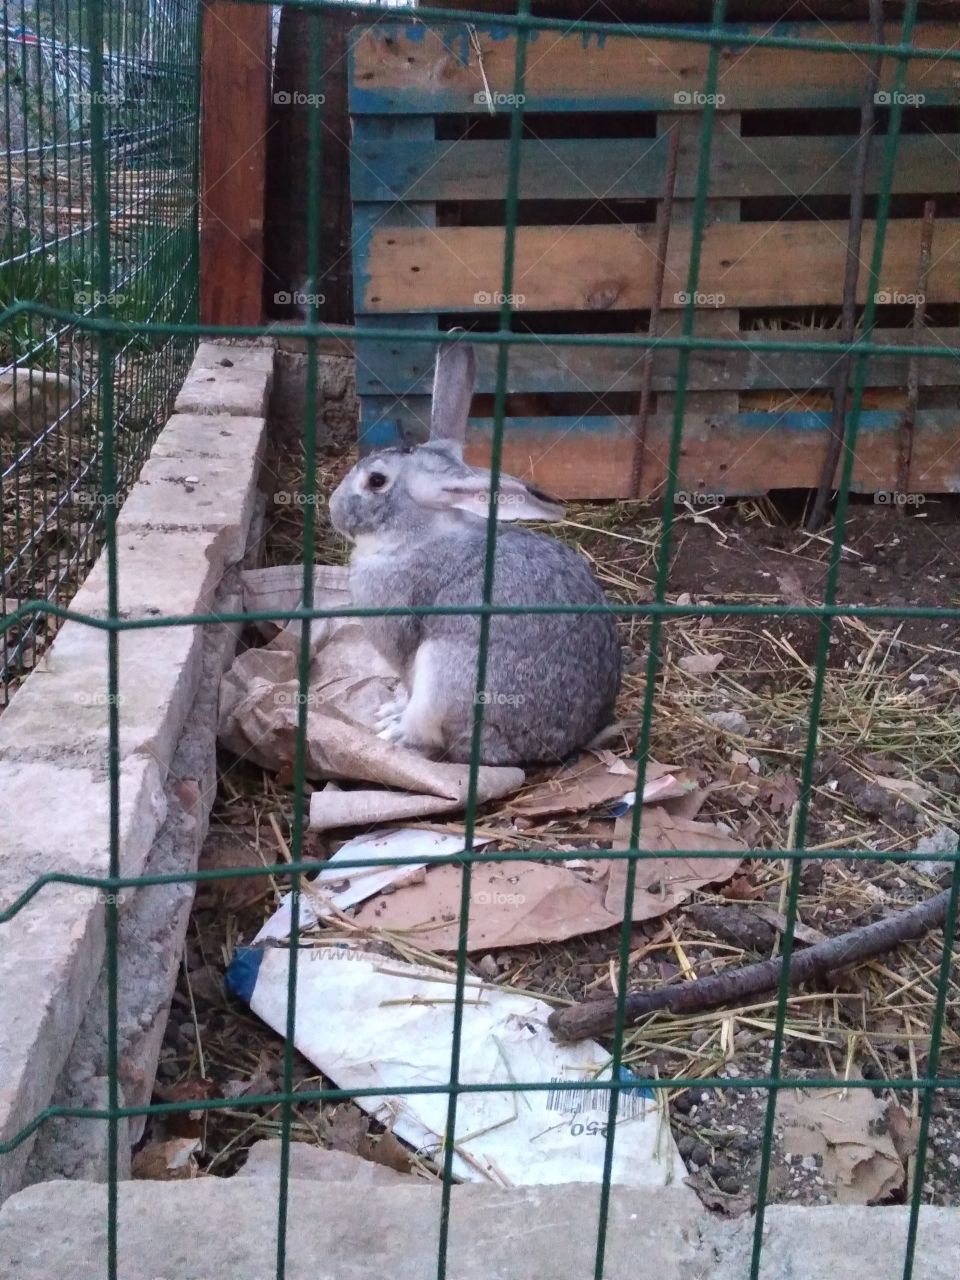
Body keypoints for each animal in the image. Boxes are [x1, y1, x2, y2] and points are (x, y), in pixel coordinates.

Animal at [327, 337, 622, 766]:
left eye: (376, 481)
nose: (333, 510)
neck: (417, 537)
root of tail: (557, 745)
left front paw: (393, 715)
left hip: (447, 671)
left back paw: (396, 732)